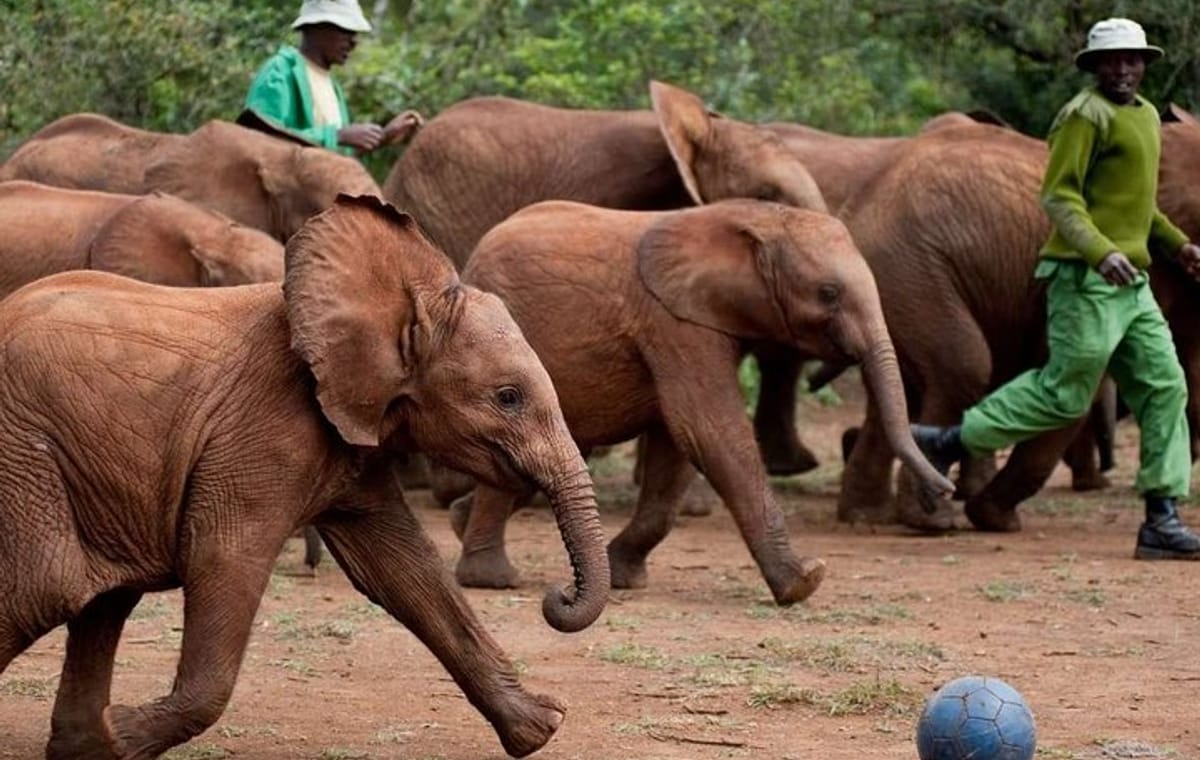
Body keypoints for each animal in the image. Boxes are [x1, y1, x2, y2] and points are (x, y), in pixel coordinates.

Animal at [0, 195, 609, 759]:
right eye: (508, 397)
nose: (556, 597)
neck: (402, 299)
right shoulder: (264, 429)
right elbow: (224, 556)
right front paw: (123, 734)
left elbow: (405, 571)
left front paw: (539, 728)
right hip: (25, 451)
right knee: (50, 588)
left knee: (100, 600)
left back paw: (83, 748)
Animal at [448, 199, 954, 604]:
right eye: (827, 294)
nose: (944, 492)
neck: (755, 218)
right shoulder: (676, 323)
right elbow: (708, 431)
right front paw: (803, 582)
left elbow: (675, 449)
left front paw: (625, 578)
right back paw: (491, 579)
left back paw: (458, 522)